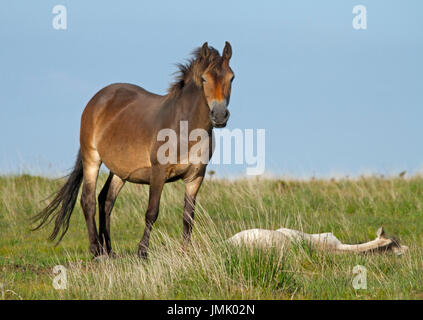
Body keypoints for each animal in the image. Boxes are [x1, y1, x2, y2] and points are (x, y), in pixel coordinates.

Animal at [33, 42, 235, 258]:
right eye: (204, 78)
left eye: (231, 77)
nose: (220, 115)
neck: (185, 128)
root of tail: (97, 99)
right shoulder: (158, 173)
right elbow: (152, 212)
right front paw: (142, 251)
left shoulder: (195, 177)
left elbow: (188, 217)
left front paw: (185, 253)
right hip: (92, 159)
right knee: (88, 201)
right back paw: (96, 250)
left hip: (120, 171)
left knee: (106, 200)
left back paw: (108, 249)